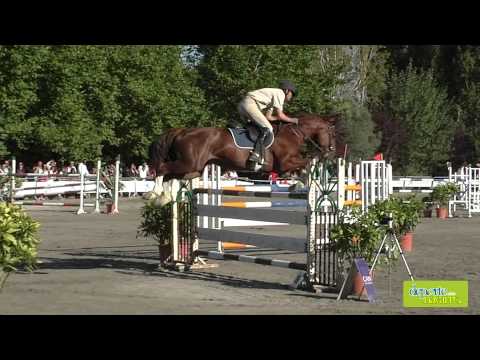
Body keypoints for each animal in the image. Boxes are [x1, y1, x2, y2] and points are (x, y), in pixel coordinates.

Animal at [148, 113, 340, 200]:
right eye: (332, 134)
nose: (332, 152)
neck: (294, 133)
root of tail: (182, 131)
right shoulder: (285, 162)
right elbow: (306, 164)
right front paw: (302, 183)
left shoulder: (285, 165)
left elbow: (301, 169)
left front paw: (296, 184)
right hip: (189, 164)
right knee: (162, 169)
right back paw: (154, 193)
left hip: (193, 169)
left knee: (170, 176)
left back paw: (163, 198)